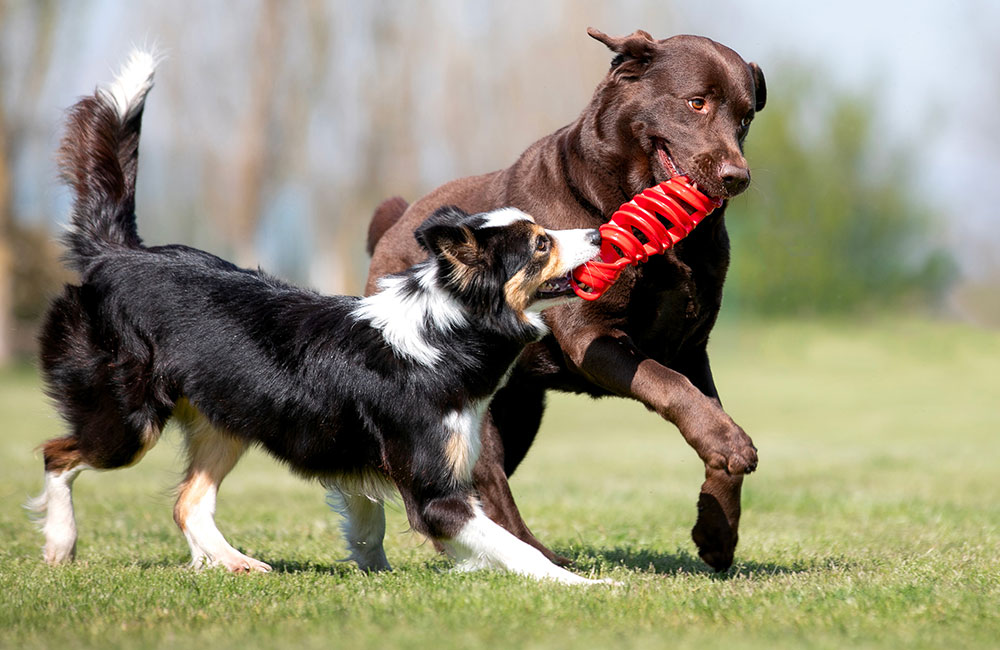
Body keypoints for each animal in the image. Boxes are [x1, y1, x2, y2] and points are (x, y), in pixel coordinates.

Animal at [29, 52, 600, 584]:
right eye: (541, 243)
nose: (596, 233)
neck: (447, 332)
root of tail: (118, 253)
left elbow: (373, 525)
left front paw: (382, 572)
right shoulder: (434, 491)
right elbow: (514, 547)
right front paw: (586, 583)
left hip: (225, 417)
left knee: (187, 502)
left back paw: (230, 561)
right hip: (129, 420)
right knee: (59, 456)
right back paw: (61, 543)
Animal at [368, 27, 764, 568]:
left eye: (746, 118)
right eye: (696, 102)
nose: (736, 177)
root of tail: (396, 223)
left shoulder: (690, 347)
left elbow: (701, 402)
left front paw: (717, 533)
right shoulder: (592, 337)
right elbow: (668, 384)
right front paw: (733, 443)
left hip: (520, 407)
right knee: (486, 481)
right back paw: (538, 557)